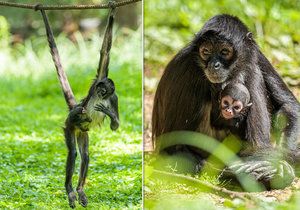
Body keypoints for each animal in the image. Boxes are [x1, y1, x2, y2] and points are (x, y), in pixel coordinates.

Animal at [152, 14, 300, 189]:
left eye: (224, 52)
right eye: (206, 52)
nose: (213, 65)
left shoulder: (254, 53)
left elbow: (289, 106)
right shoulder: (185, 66)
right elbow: (173, 148)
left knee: (252, 70)